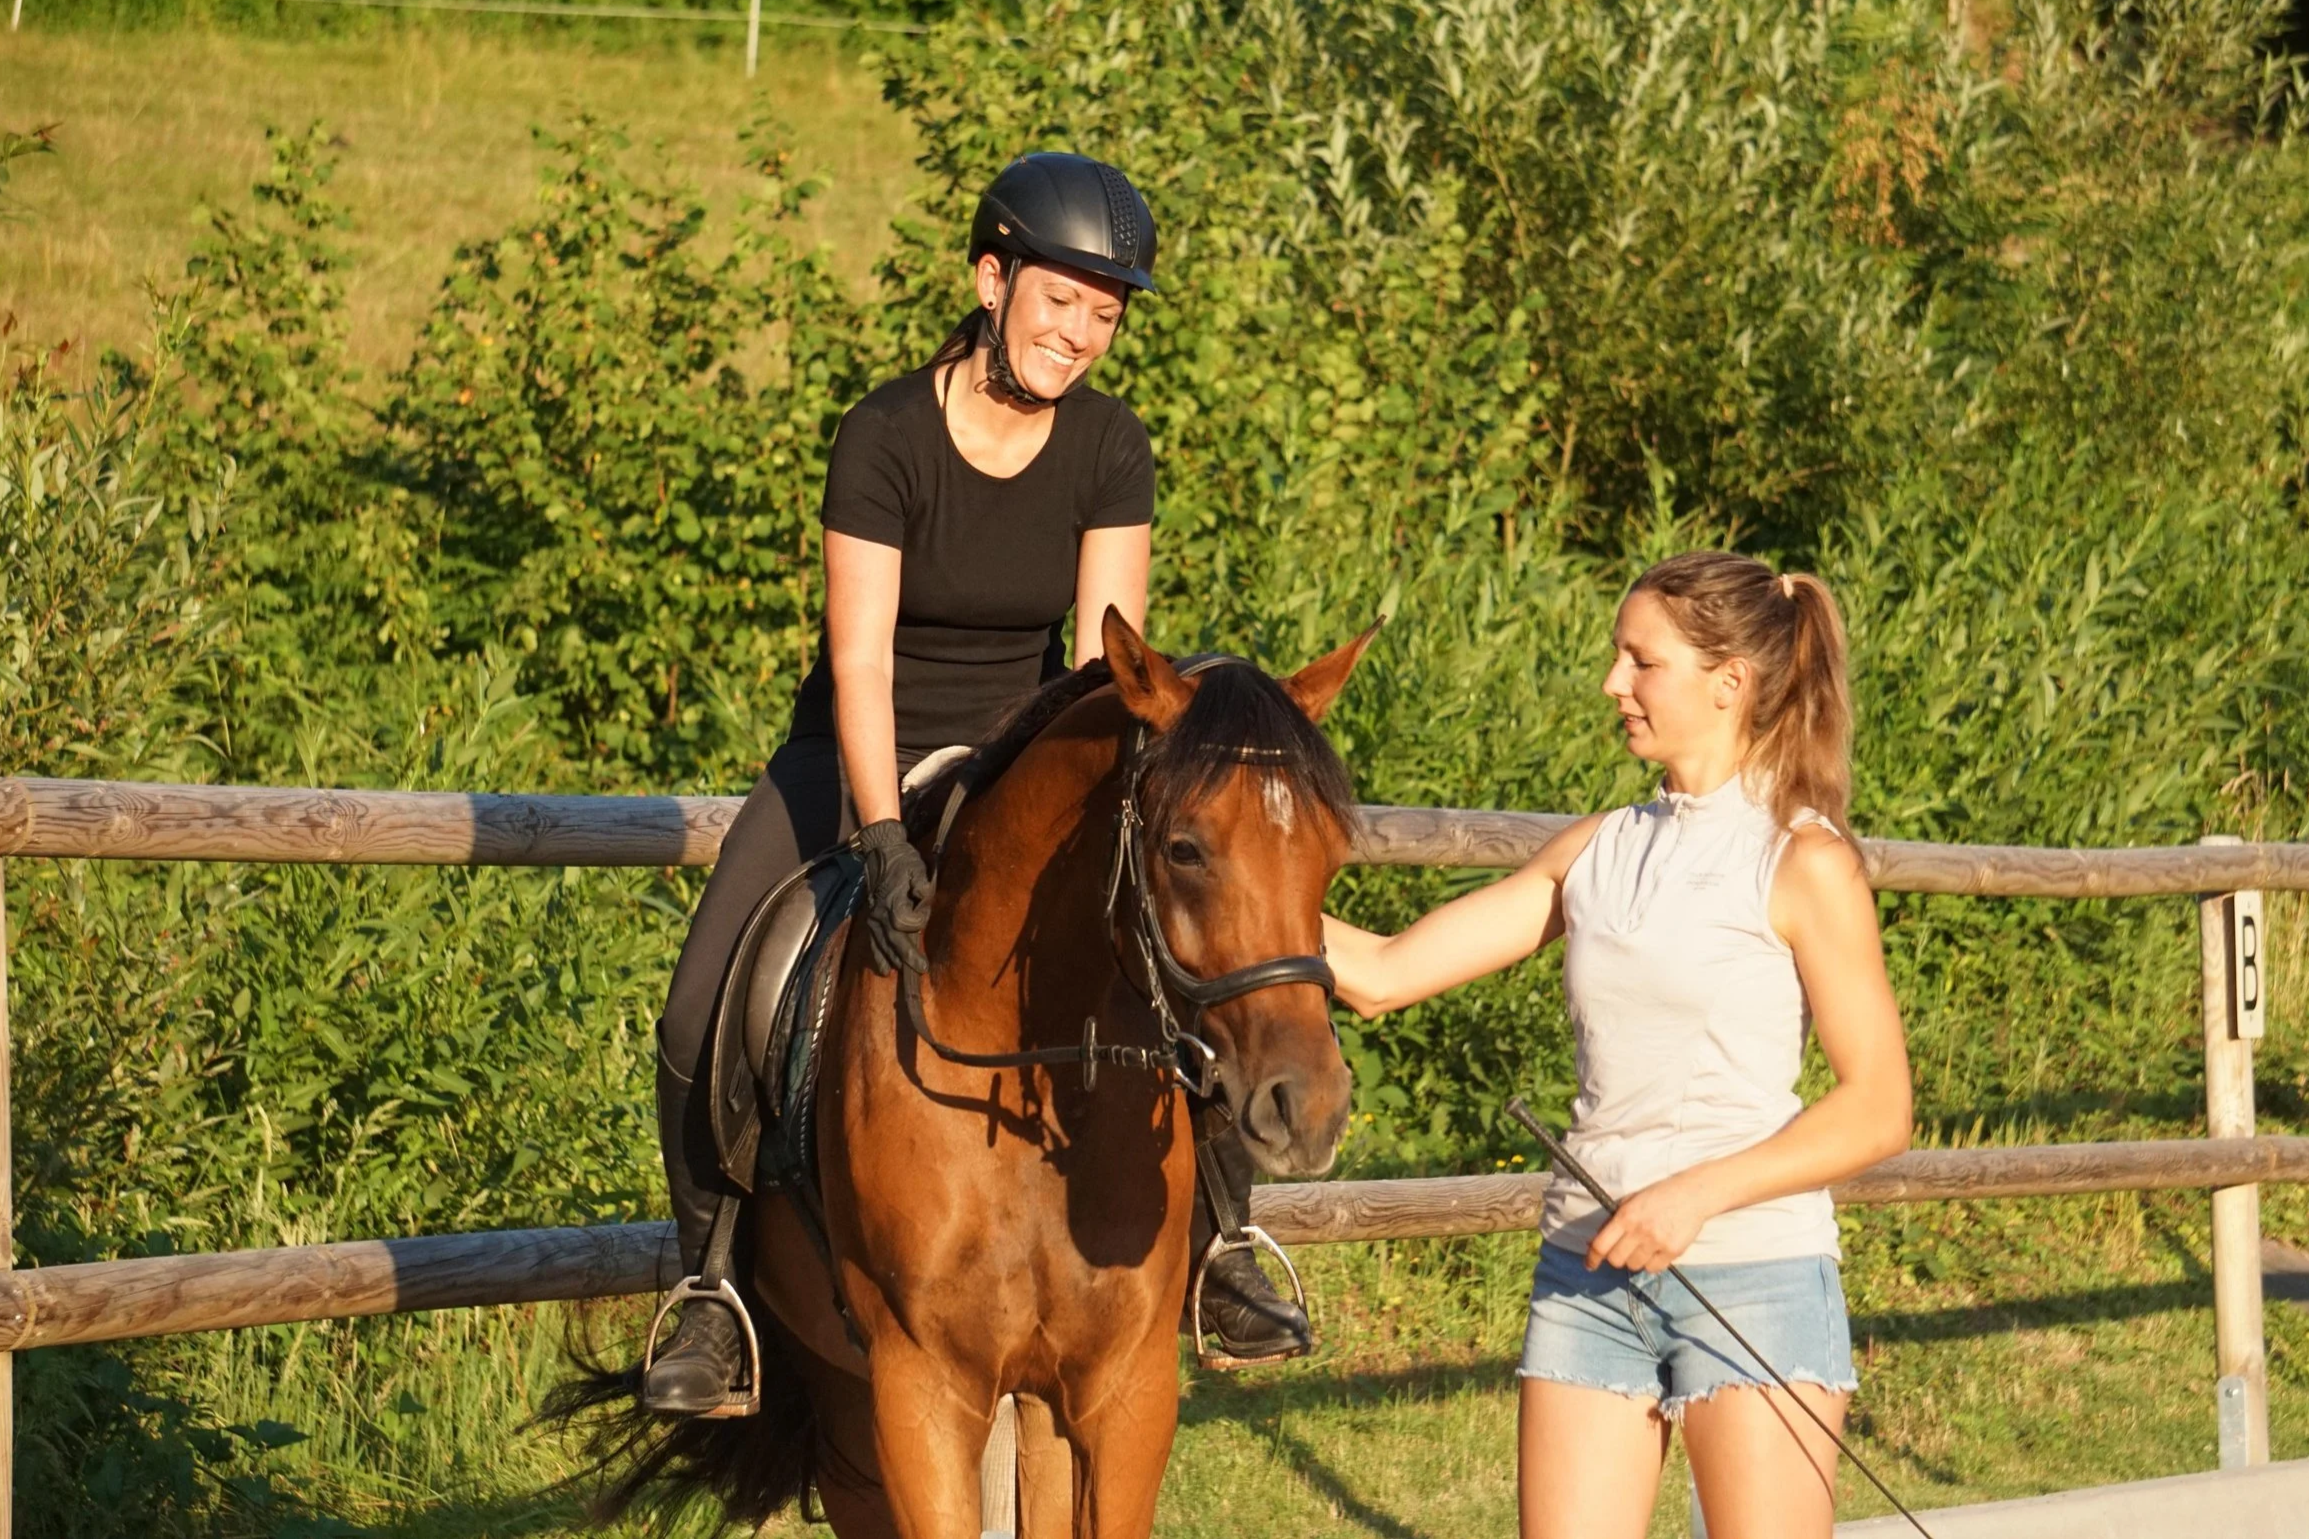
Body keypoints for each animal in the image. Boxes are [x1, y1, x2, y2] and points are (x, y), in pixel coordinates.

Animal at [556, 607, 1372, 1537]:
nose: (1307, 1107)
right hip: (848, 1396)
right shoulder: (923, 1391)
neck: (1029, 1093)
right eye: (1184, 848)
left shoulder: (1120, 1393)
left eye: (1329, 853)